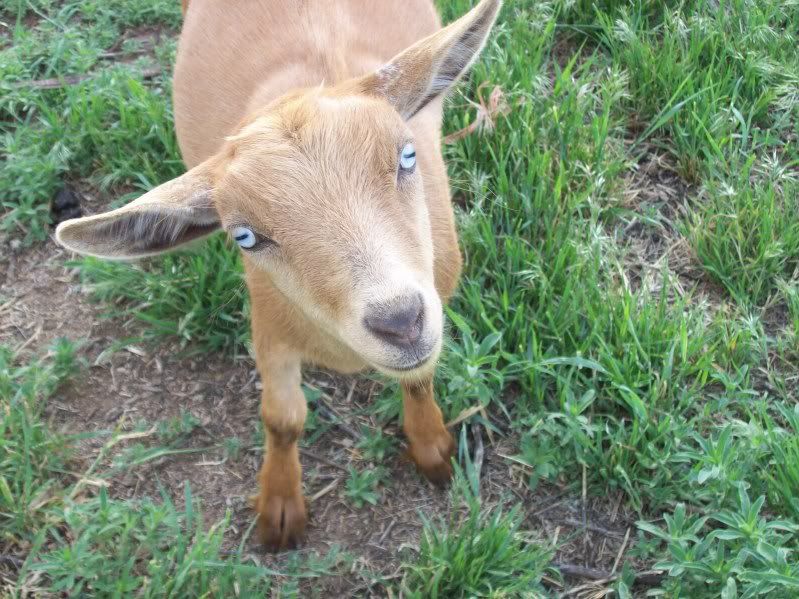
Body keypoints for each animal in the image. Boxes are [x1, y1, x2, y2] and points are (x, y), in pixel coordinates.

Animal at [56, 0, 501, 551]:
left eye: (407, 155)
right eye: (245, 237)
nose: (400, 322)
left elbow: (419, 377)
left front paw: (433, 448)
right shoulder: (269, 325)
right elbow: (283, 419)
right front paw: (280, 508)